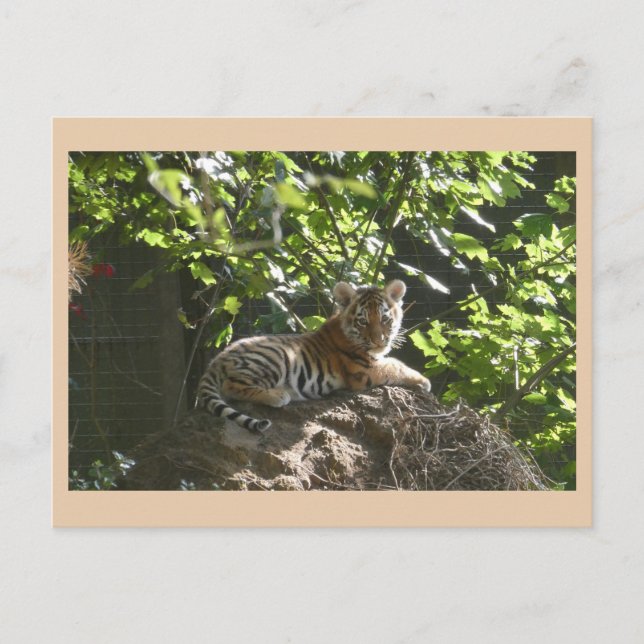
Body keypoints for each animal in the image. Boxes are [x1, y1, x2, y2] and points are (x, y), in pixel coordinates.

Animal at [196, 279, 431, 432]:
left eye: (385, 319)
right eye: (363, 321)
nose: (379, 341)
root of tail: (217, 360)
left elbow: (394, 362)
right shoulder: (364, 370)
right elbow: (396, 365)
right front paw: (423, 380)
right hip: (276, 355)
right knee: (231, 386)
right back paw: (278, 395)